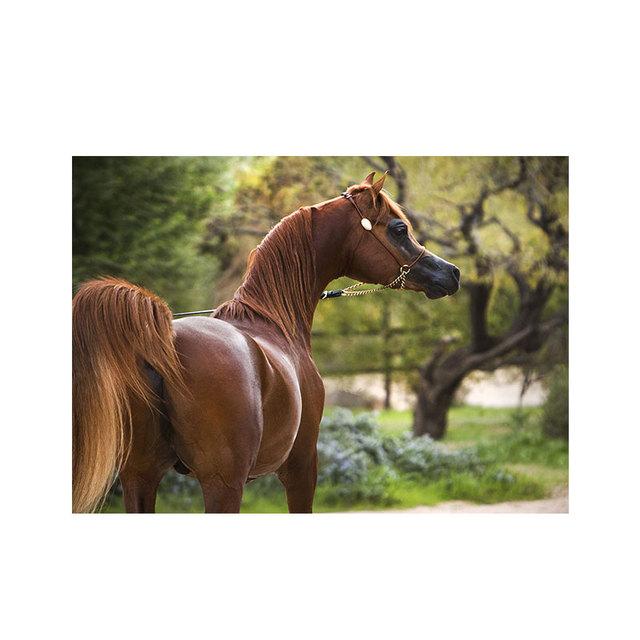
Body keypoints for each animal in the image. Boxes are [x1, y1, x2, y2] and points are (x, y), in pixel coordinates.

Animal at [72, 171, 461, 513]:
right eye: (399, 229)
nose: (451, 273)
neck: (273, 320)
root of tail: (164, 342)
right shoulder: (301, 466)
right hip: (223, 484)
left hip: (141, 478)